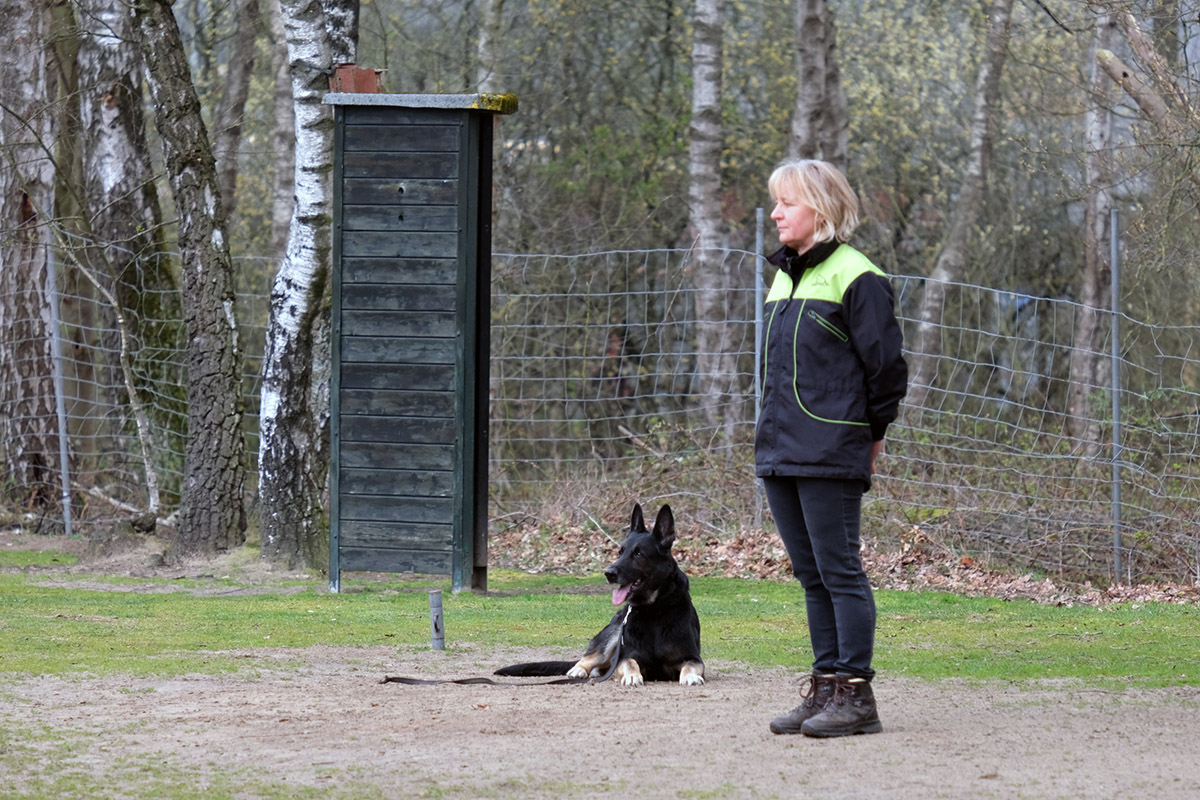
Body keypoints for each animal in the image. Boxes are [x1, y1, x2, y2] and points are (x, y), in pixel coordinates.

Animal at [494, 503, 705, 686]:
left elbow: (691, 666)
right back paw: (578, 670)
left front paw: (690, 676)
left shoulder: (693, 657)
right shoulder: (626, 655)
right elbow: (629, 663)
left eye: (638, 554)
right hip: (613, 634)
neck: (653, 610)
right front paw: (631, 676)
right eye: (620, 552)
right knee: (590, 659)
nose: (608, 573)